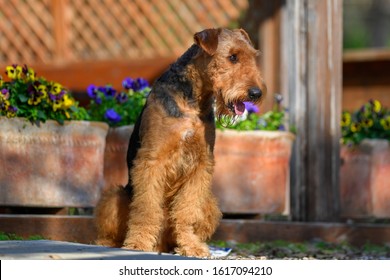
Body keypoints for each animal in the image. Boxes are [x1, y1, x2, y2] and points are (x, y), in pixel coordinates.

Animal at [94, 27, 266, 258]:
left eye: (253, 56)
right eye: (233, 57)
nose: (256, 93)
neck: (192, 102)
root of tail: (161, 243)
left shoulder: (201, 163)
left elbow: (186, 212)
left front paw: (191, 247)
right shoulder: (152, 159)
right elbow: (146, 209)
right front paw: (138, 244)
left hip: (210, 204)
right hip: (116, 196)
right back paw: (112, 243)